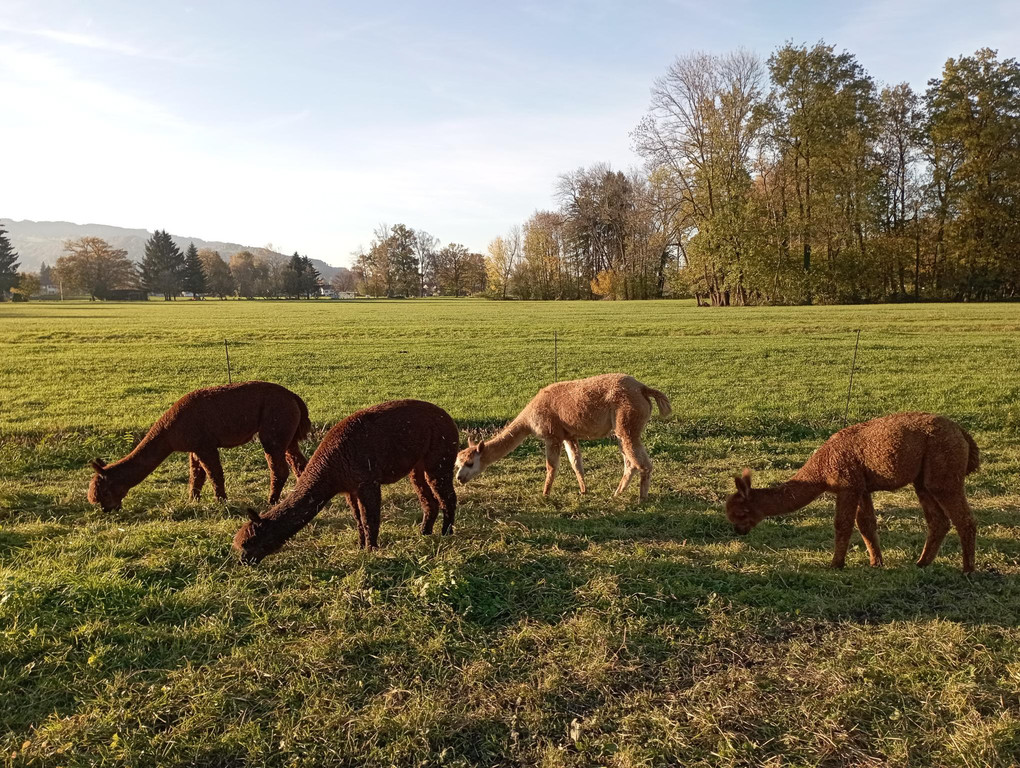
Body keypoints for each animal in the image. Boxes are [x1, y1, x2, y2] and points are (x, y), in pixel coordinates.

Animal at [88, 381, 310, 511]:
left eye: (105, 492)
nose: (108, 510)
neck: (170, 432)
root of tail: (293, 396)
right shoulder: (194, 448)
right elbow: (196, 475)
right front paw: (193, 500)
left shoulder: (204, 445)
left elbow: (214, 474)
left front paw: (221, 501)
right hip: (287, 433)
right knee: (298, 462)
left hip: (275, 425)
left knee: (279, 468)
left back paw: (272, 500)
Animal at [233, 399, 459, 563]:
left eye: (249, 543)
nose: (244, 562)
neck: (330, 467)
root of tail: (447, 417)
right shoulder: (350, 489)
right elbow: (358, 519)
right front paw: (360, 546)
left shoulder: (367, 481)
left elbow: (370, 519)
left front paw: (371, 550)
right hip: (417, 466)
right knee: (429, 500)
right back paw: (425, 533)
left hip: (440, 456)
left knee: (448, 497)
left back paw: (446, 533)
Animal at [455, 373, 672, 501]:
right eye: (457, 463)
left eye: (469, 463)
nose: (458, 478)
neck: (528, 419)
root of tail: (642, 388)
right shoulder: (569, 435)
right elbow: (576, 463)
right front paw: (583, 491)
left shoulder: (552, 435)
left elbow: (551, 466)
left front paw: (545, 494)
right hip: (622, 428)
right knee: (630, 462)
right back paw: (618, 493)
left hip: (626, 421)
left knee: (643, 464)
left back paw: (641, 499)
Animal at [725, 412, 980, 572]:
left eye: (741, 513)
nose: (738, 531)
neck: (821, 469)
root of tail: (962, 432)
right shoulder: (860, 486)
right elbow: (866, 524)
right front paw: (876, 563)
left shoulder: (847, 485)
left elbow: (843, 524)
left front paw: (835, 564)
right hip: (923, 480)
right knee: (938, 521)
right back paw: (922, 563)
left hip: (943, 470)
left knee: (964, 519)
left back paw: (967, 570)